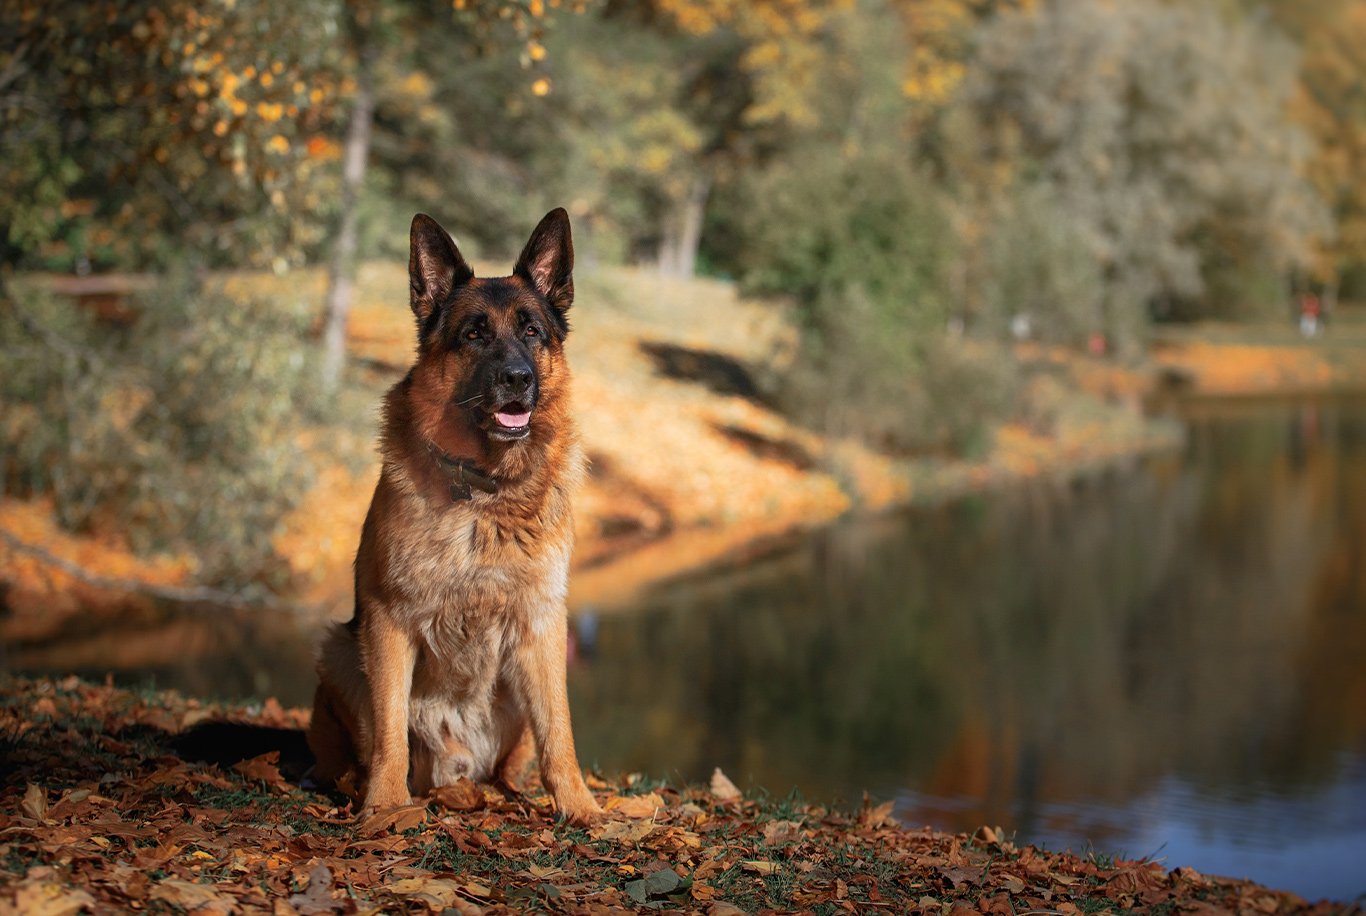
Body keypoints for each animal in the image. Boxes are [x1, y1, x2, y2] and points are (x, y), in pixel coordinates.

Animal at [312, 211, 606, 829]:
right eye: (474, 334)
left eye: (532, 332)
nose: (518, 379)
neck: (485, 494)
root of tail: (456, 766)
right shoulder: (389, 618)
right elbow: (389, 731)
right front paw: (385, 807)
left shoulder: (543, 624)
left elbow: (560, 732)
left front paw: (580, 808)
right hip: (338, 650)